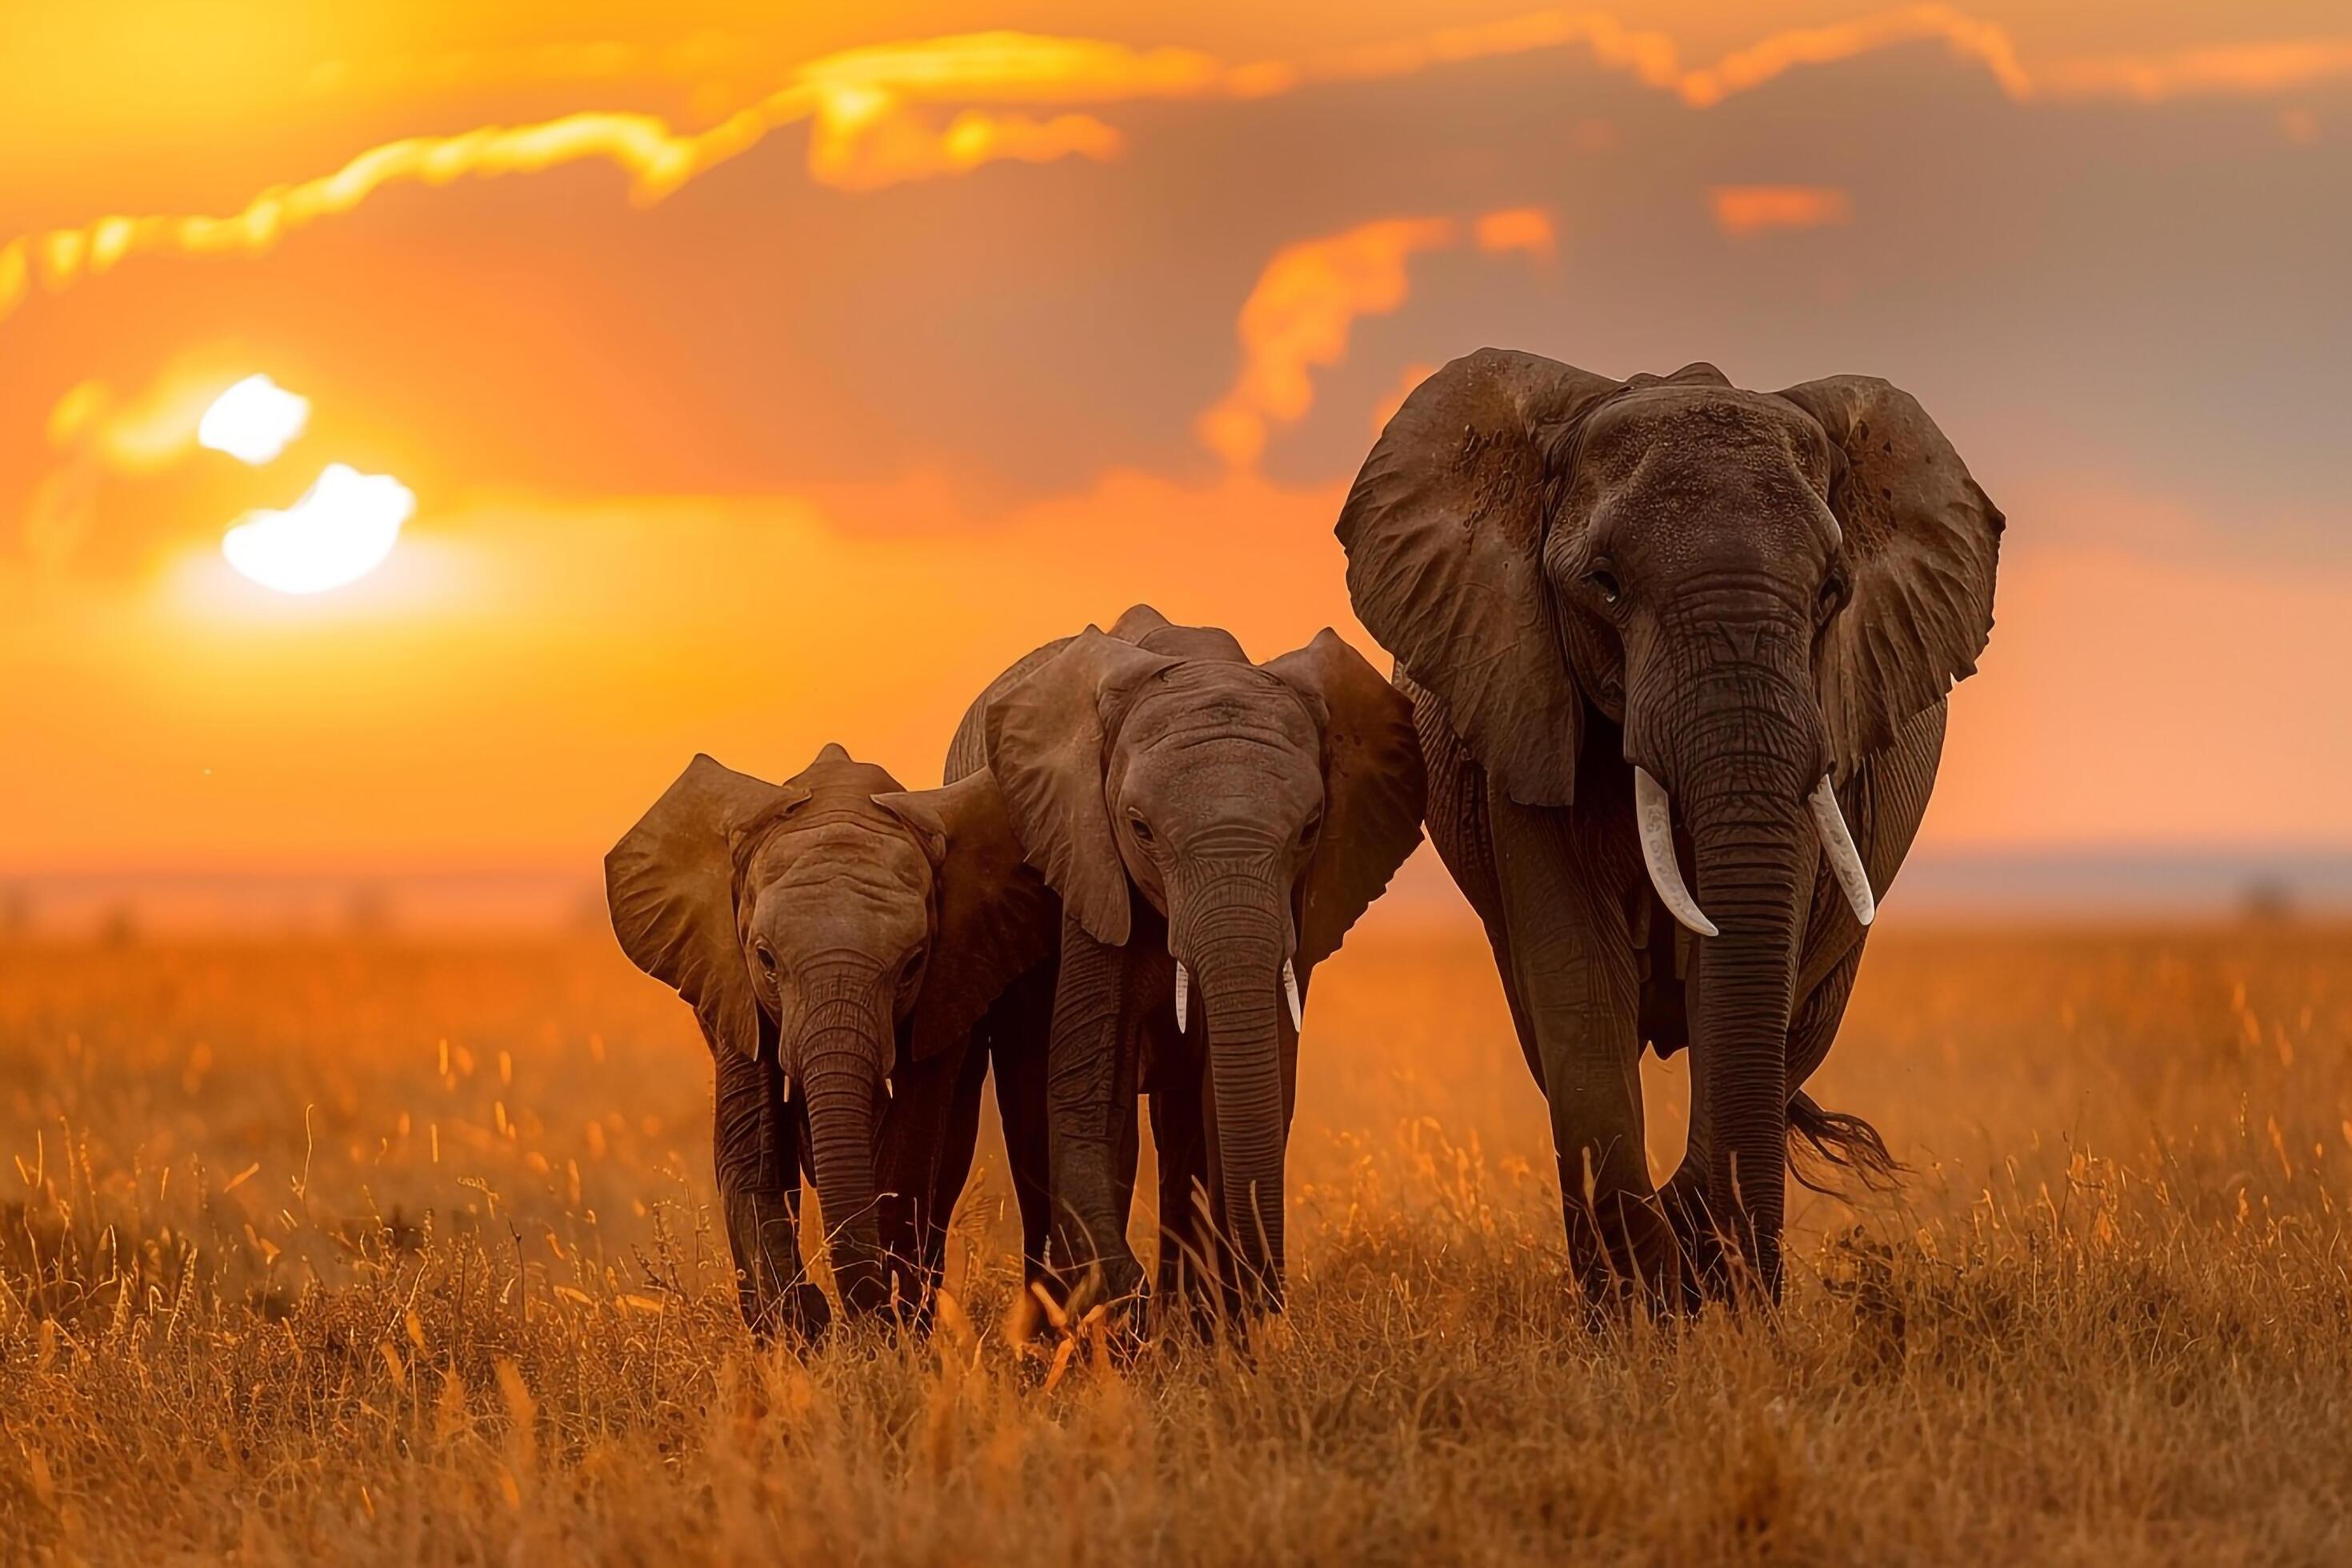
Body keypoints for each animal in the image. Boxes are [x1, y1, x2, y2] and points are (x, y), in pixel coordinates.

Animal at [606, 742, 1058, 1335]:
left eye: (912, 964)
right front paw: (801, 1331)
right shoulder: (729, 980)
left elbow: (910, 1153)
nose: (832, 1311)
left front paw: (884, 1332)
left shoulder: (950, 976)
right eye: (766, 960)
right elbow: (751, 1151)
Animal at [945, 606, 1420, 1316]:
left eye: (1310, 827)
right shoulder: (1087, 863)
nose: (1267, 1297)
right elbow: (1092, 1099)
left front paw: (1200, 1325)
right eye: (1140, 828)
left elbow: (1242, 1097)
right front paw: (1127, 1308)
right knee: (1034, 1107)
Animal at [1345, 354, 2003, 1316]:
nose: (1707, 1283)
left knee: (1801, 1031)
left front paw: (1708, 1285)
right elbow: (1579, 987)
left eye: (1832, 592)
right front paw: (1644, 1308)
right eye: (1605, 584)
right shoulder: (1528, 699)